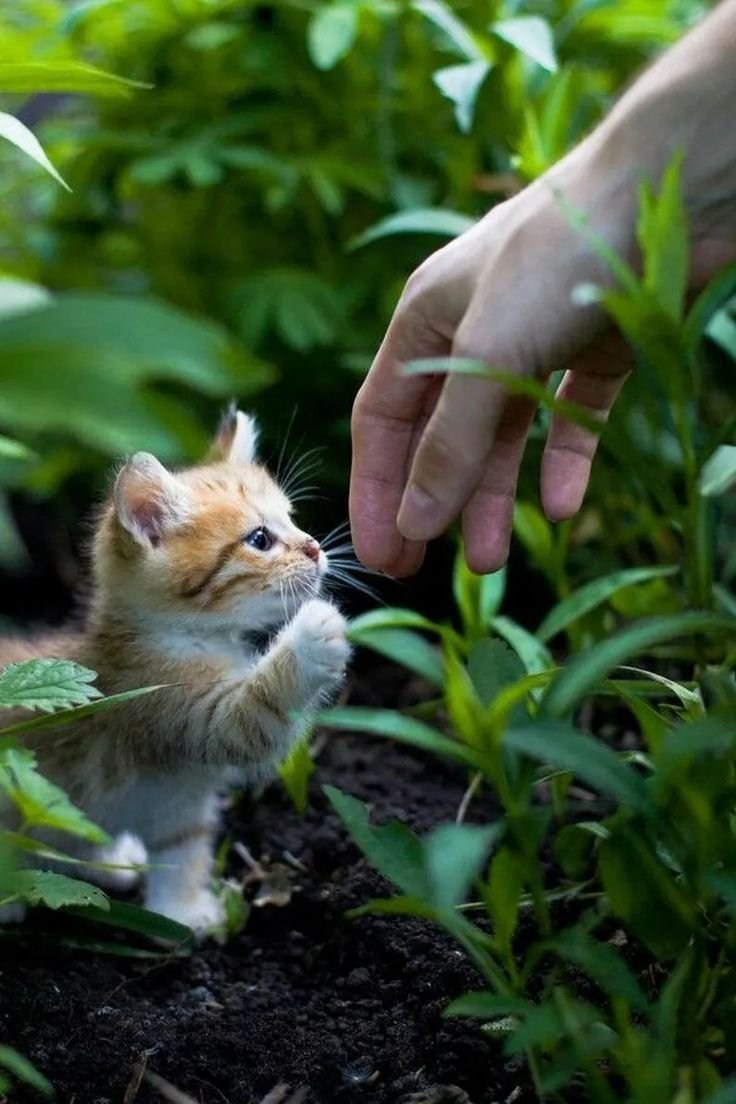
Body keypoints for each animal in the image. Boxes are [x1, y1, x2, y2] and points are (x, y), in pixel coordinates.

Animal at [0, 410, 350, 936]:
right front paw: (312, 634)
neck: (185, 636)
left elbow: (183, 850)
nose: (314, 548)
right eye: (260, 539)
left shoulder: (184, 800)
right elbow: (254, 715)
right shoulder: (178, 708)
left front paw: (181, 911)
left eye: (292, 517)